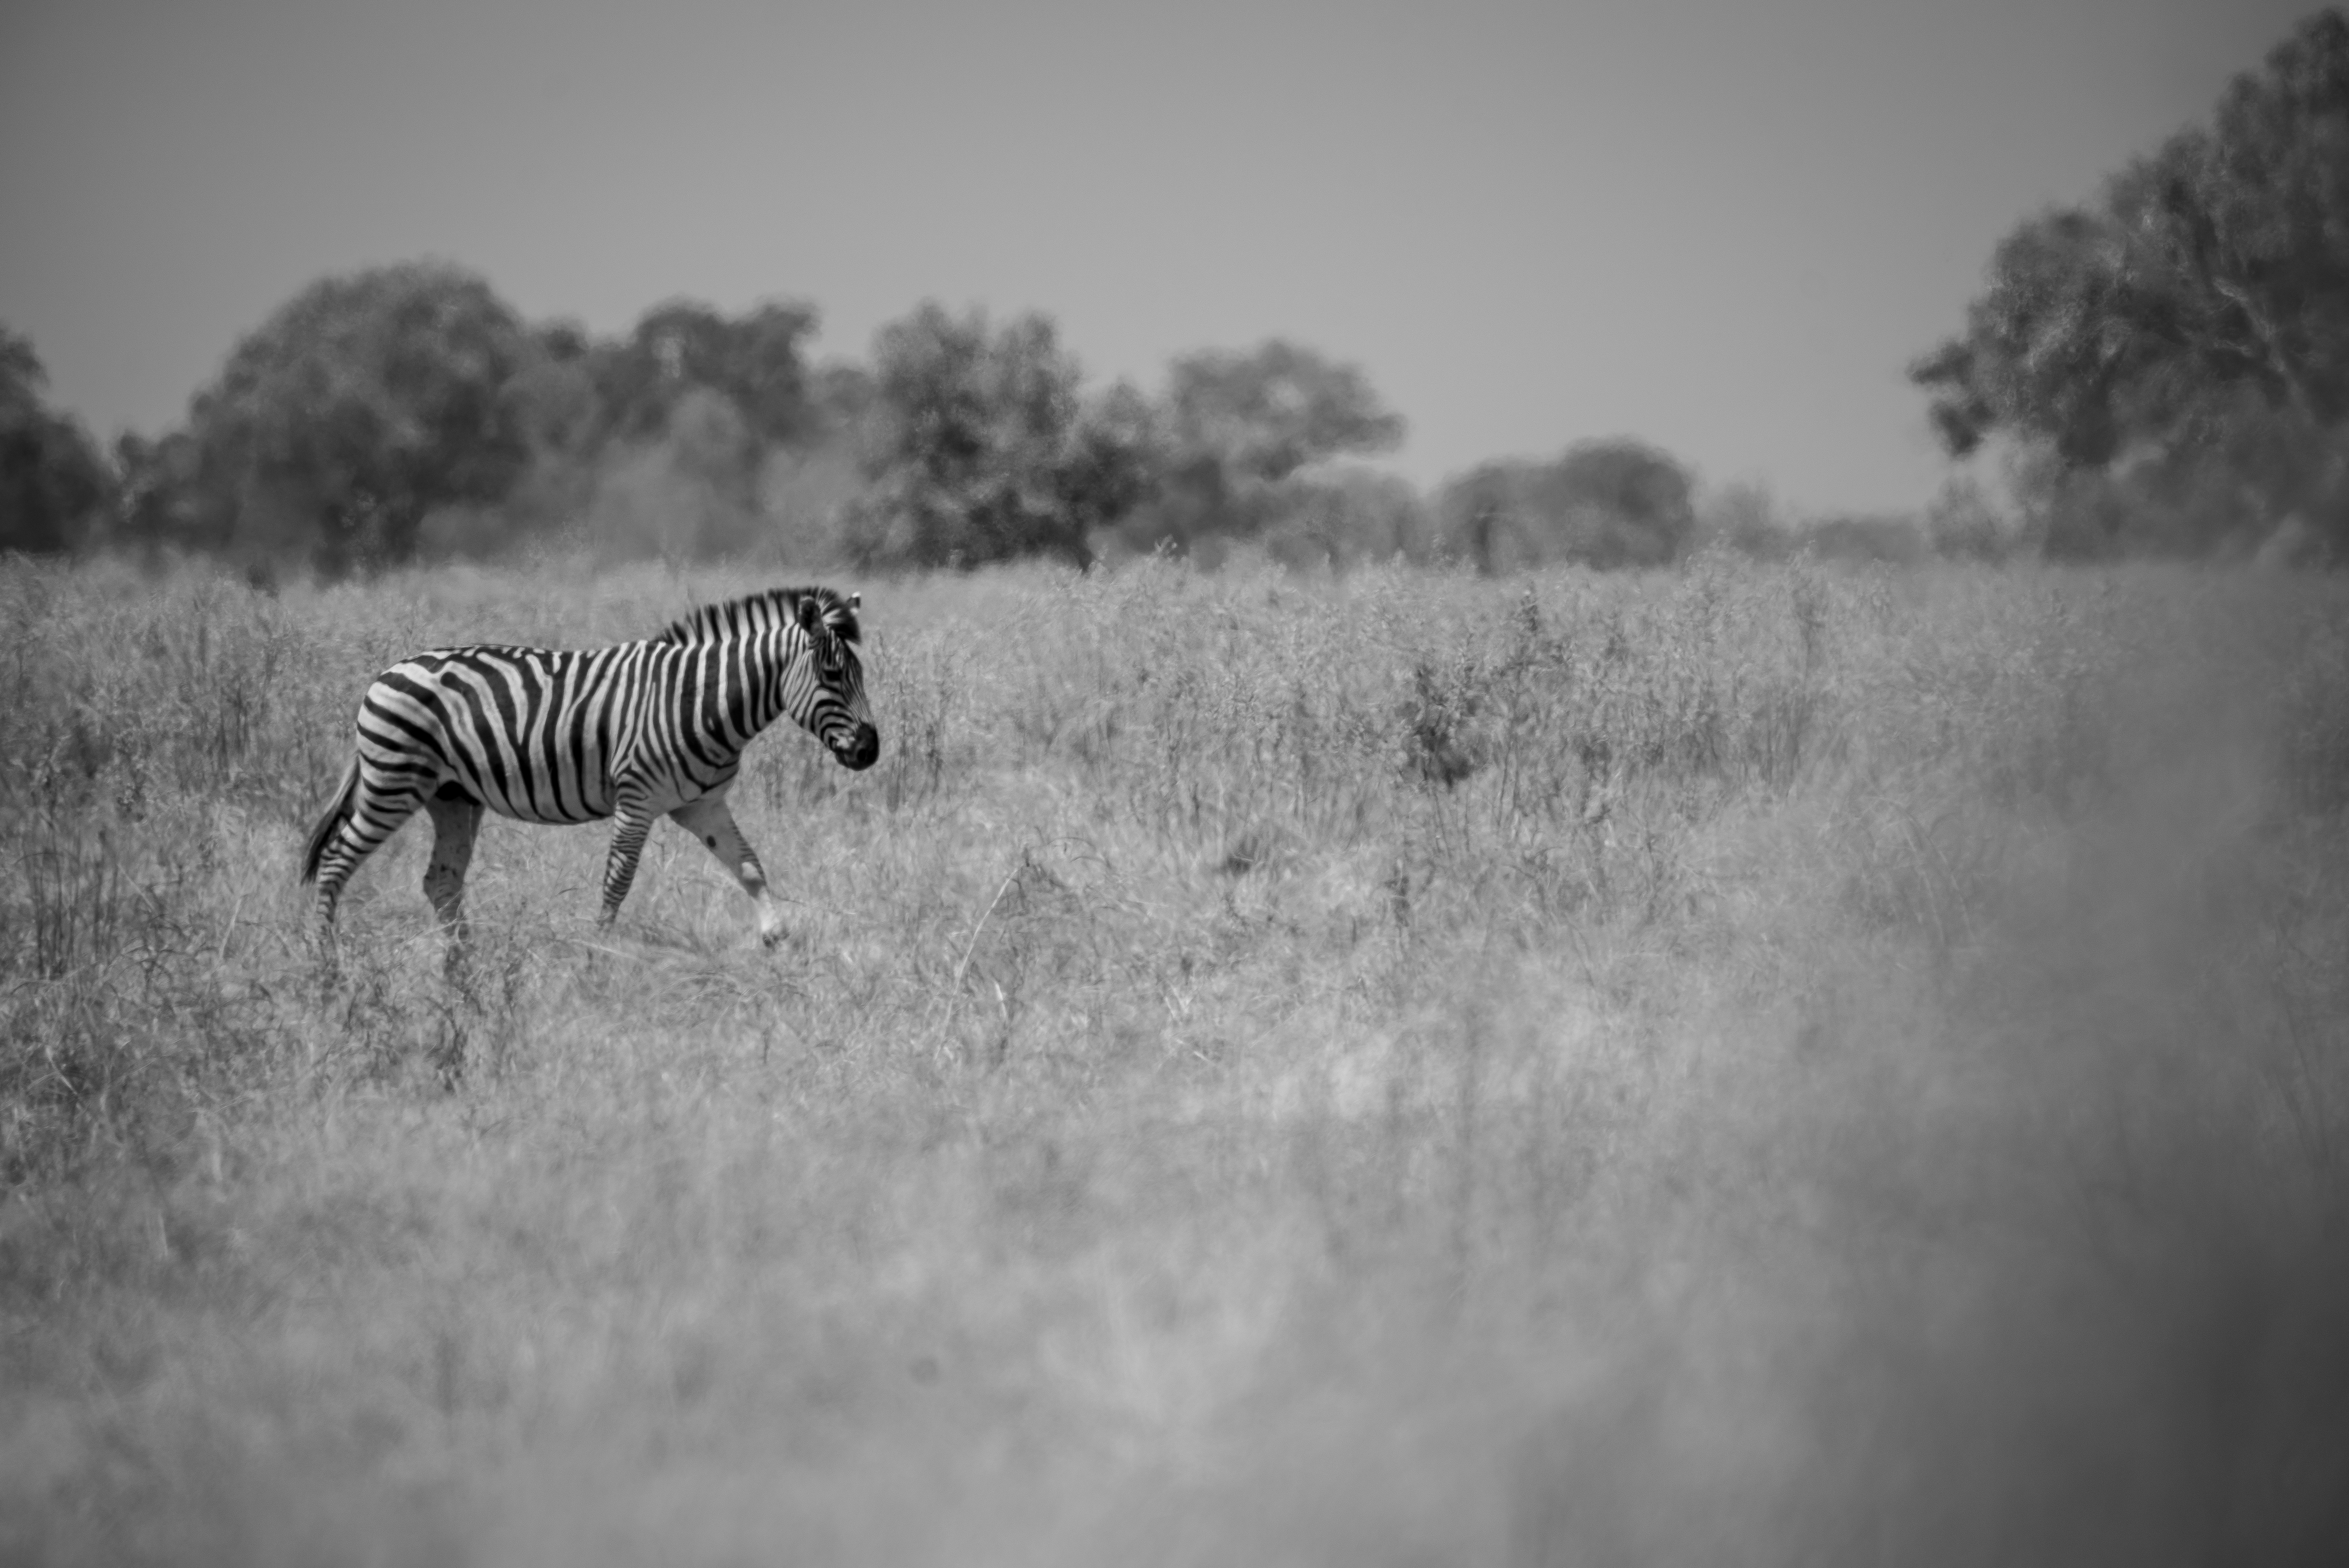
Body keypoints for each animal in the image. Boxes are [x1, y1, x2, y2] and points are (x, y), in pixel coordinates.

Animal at [300, 585, 879, 953]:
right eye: (832, 674)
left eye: (860, 674)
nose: (870, 751)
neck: (699, 700)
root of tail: (387, 670)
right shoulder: (636, 797)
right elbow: (617, 882)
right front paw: (596, 954)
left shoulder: (702, 804)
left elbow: (750, 866)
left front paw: (778, 939)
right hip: (393, 782)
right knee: (335, 861)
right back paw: (328, 962)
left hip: (452, 797)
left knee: (441, 881)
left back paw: (465, 964)